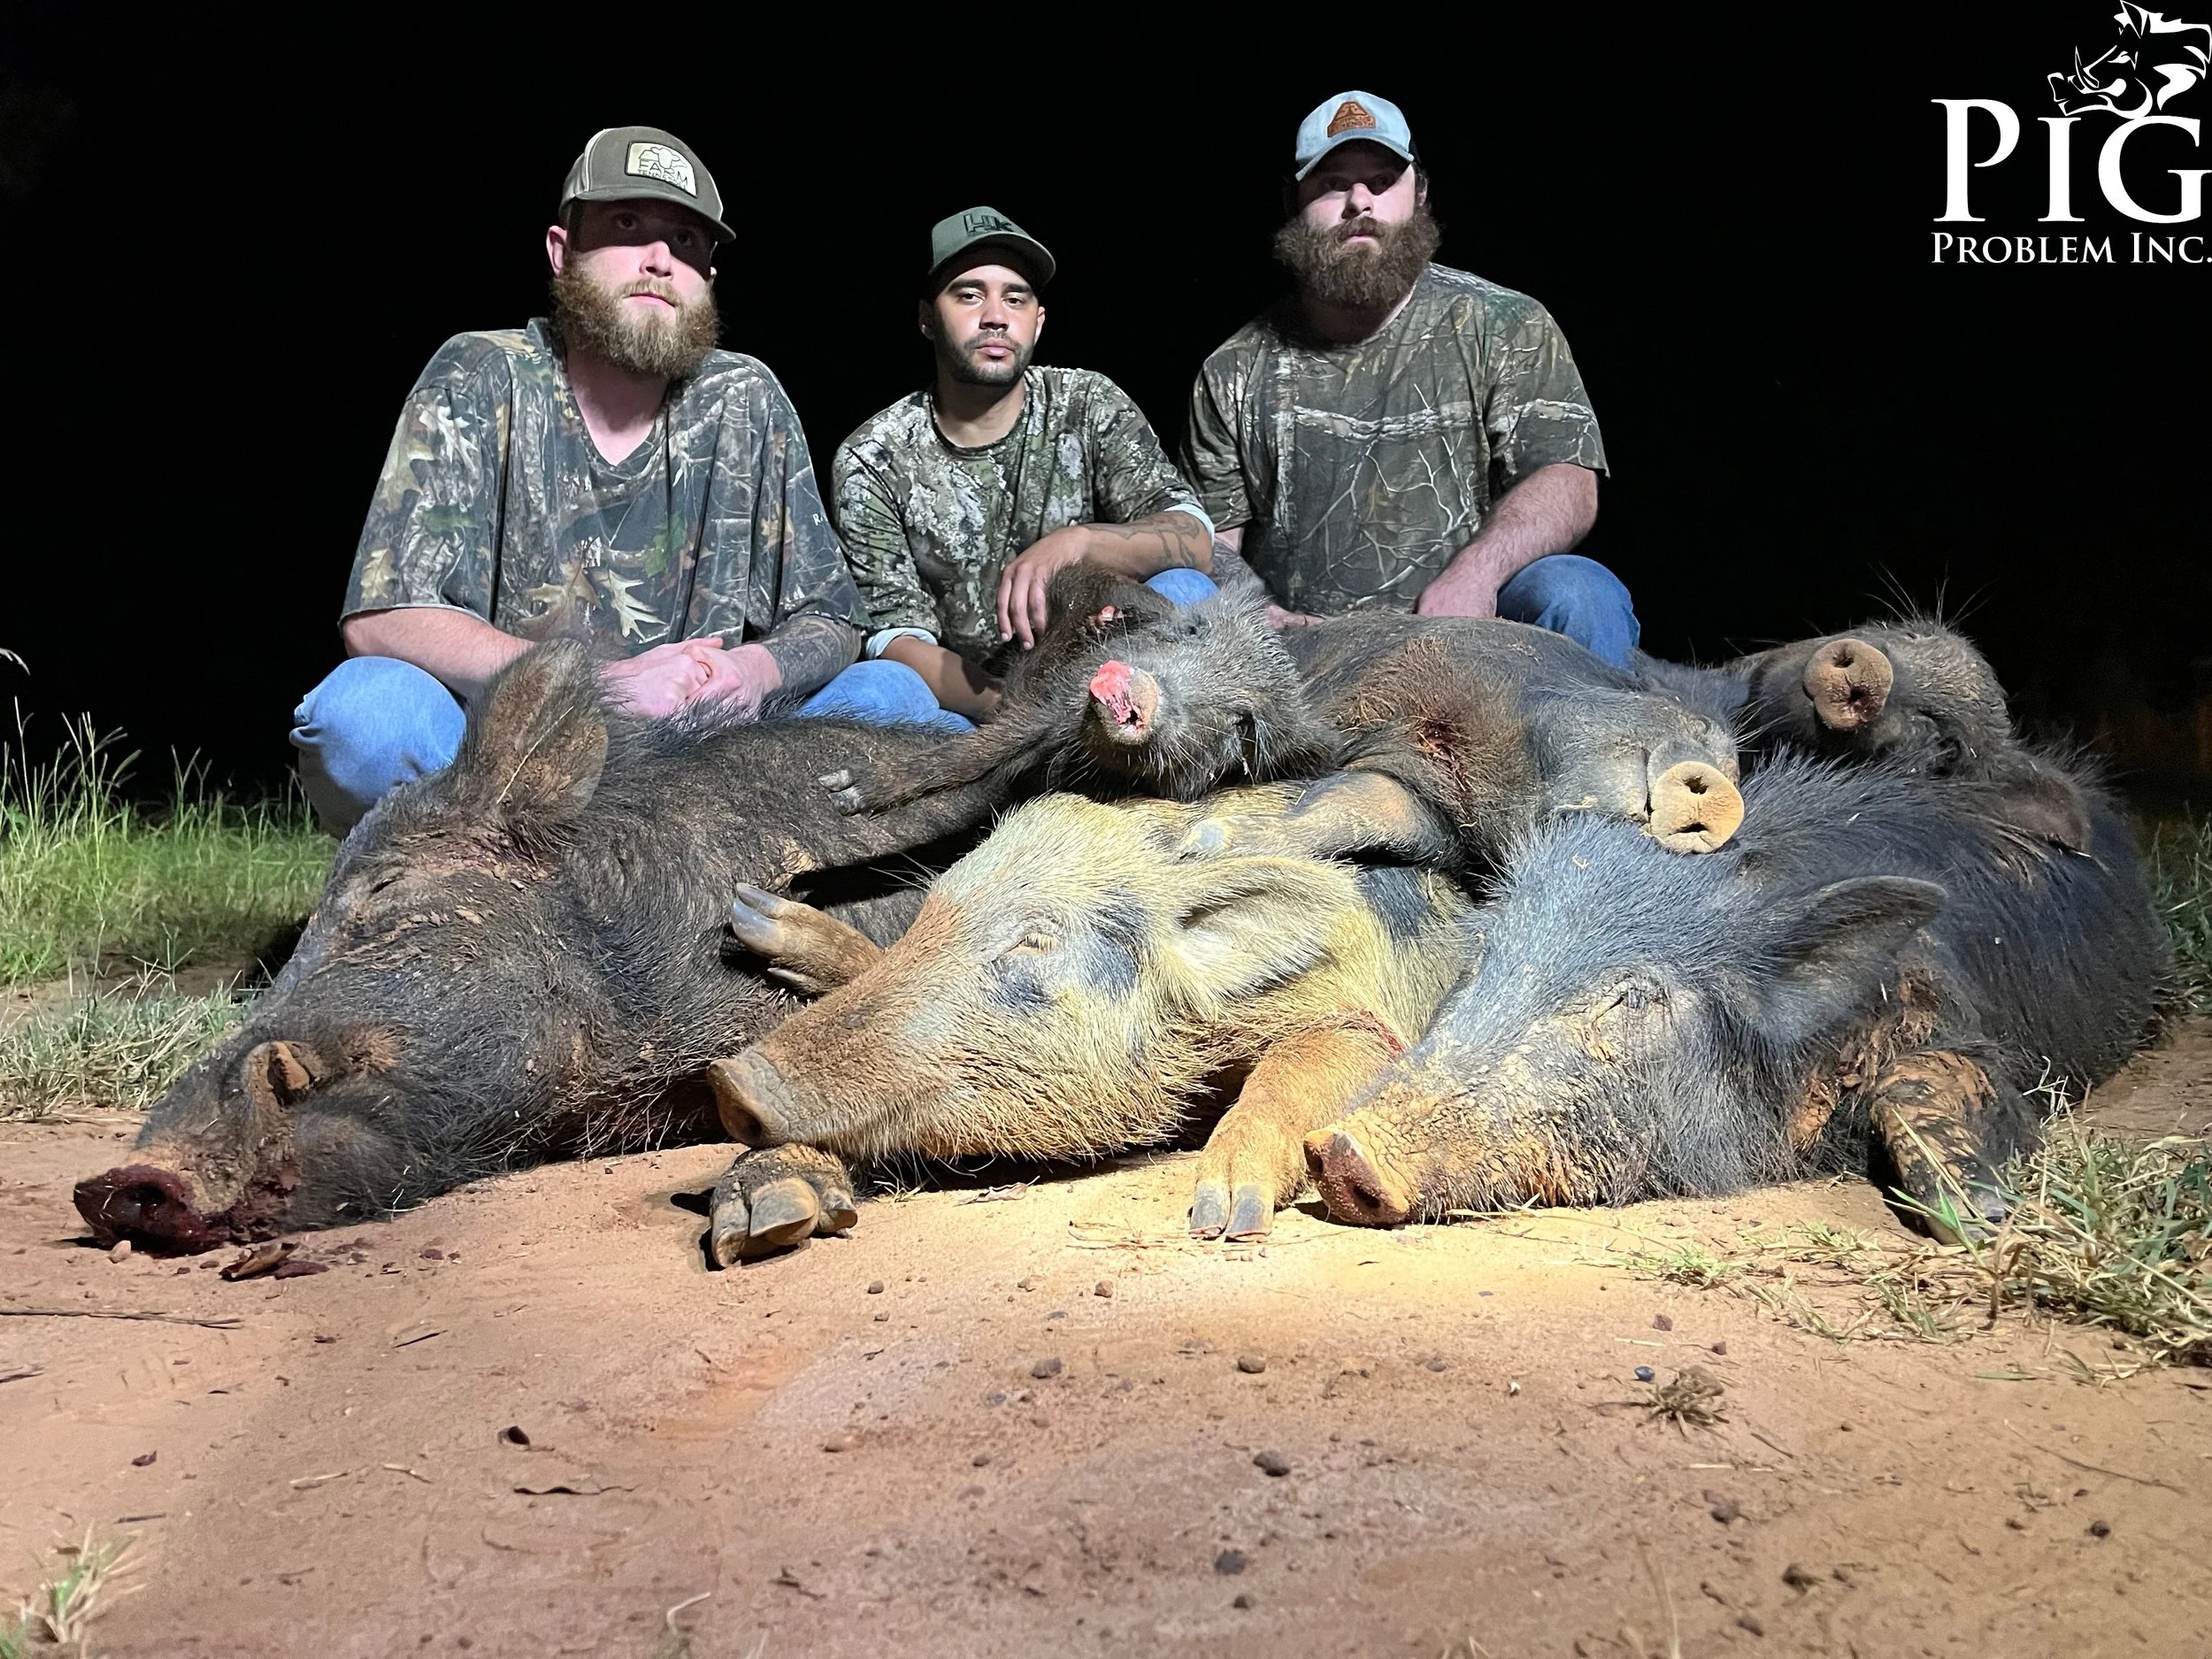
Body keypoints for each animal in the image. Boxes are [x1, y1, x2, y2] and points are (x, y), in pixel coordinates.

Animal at [706, 780, 1475, 1255]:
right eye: (928, 916)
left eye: (1032, 940)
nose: (729, 1081)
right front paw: (761, 1228)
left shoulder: (1367, 1013)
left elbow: (1304, 1060)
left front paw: (1221, 1216)